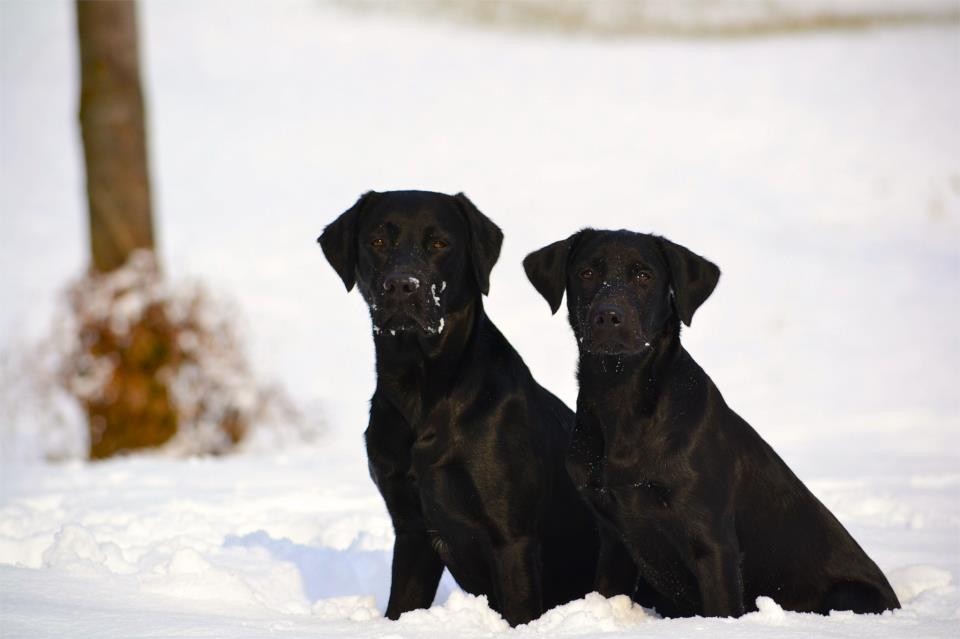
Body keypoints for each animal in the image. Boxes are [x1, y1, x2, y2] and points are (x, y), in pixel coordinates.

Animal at [318, 191, 596, 632]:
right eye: (377, 241)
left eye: (439, 243)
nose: (403, 286)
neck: (421, 393)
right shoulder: (411, 529)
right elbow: (401, 606)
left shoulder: (512, 537)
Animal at [524, 230, 900, 620]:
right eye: (586, 273)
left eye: (643, 275)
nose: (608, 316)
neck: (621, 400)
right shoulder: (614, 538)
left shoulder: (713, 542)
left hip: (848, 595)